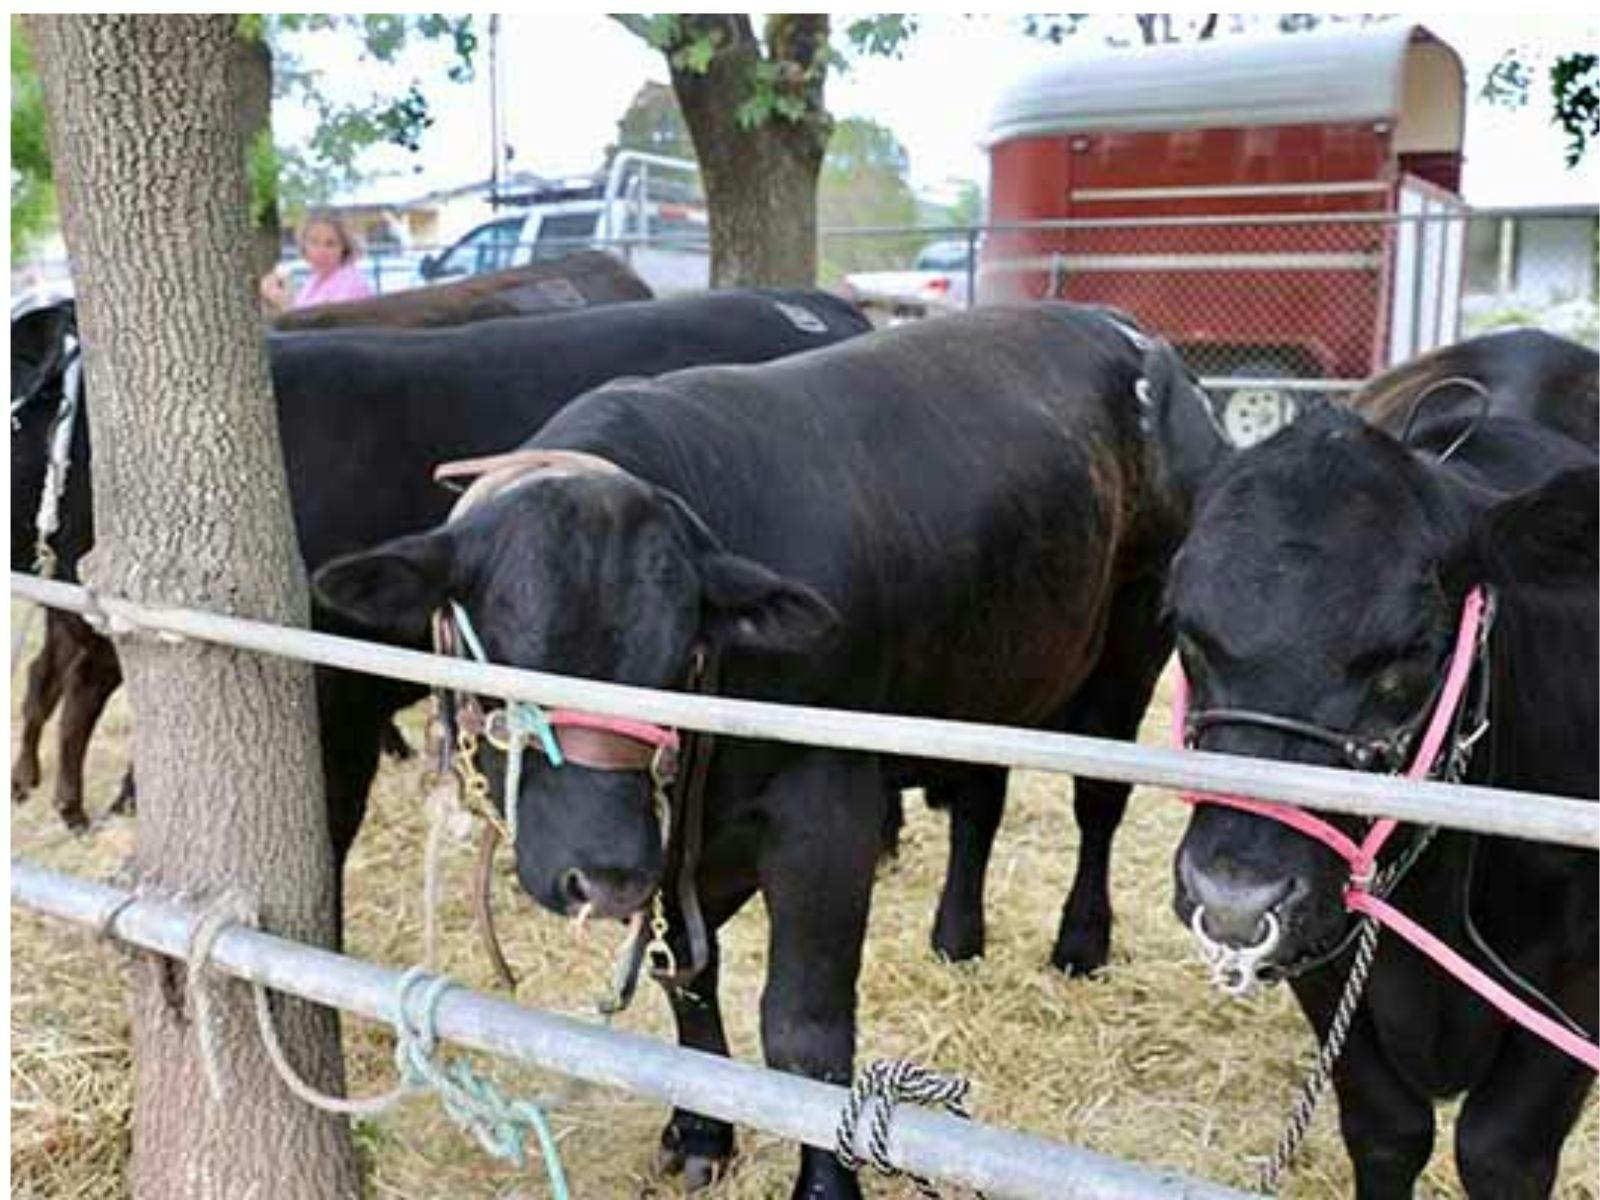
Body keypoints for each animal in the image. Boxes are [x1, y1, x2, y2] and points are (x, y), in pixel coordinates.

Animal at [312, 304, 1227, 1196]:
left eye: (676, 661)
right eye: (497, 654)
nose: (603, 875)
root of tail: (1127, 333)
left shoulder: (824, 807)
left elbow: (804, 1032)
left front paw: (821, 1185)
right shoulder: (675, 841)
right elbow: (687, 973)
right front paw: (700, 1131)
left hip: (1129, 647)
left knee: (1097, 803)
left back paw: (1081, 942)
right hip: (991, 671)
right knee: (978, 798)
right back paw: (956, 936)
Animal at [1167, 402, 1597, 1197]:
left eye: (1409, 653)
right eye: (1187, 631)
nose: (1234, 896)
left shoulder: (1581, 982)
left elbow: (1500, 1148)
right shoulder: (1321, 943)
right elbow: (1387, 1128)